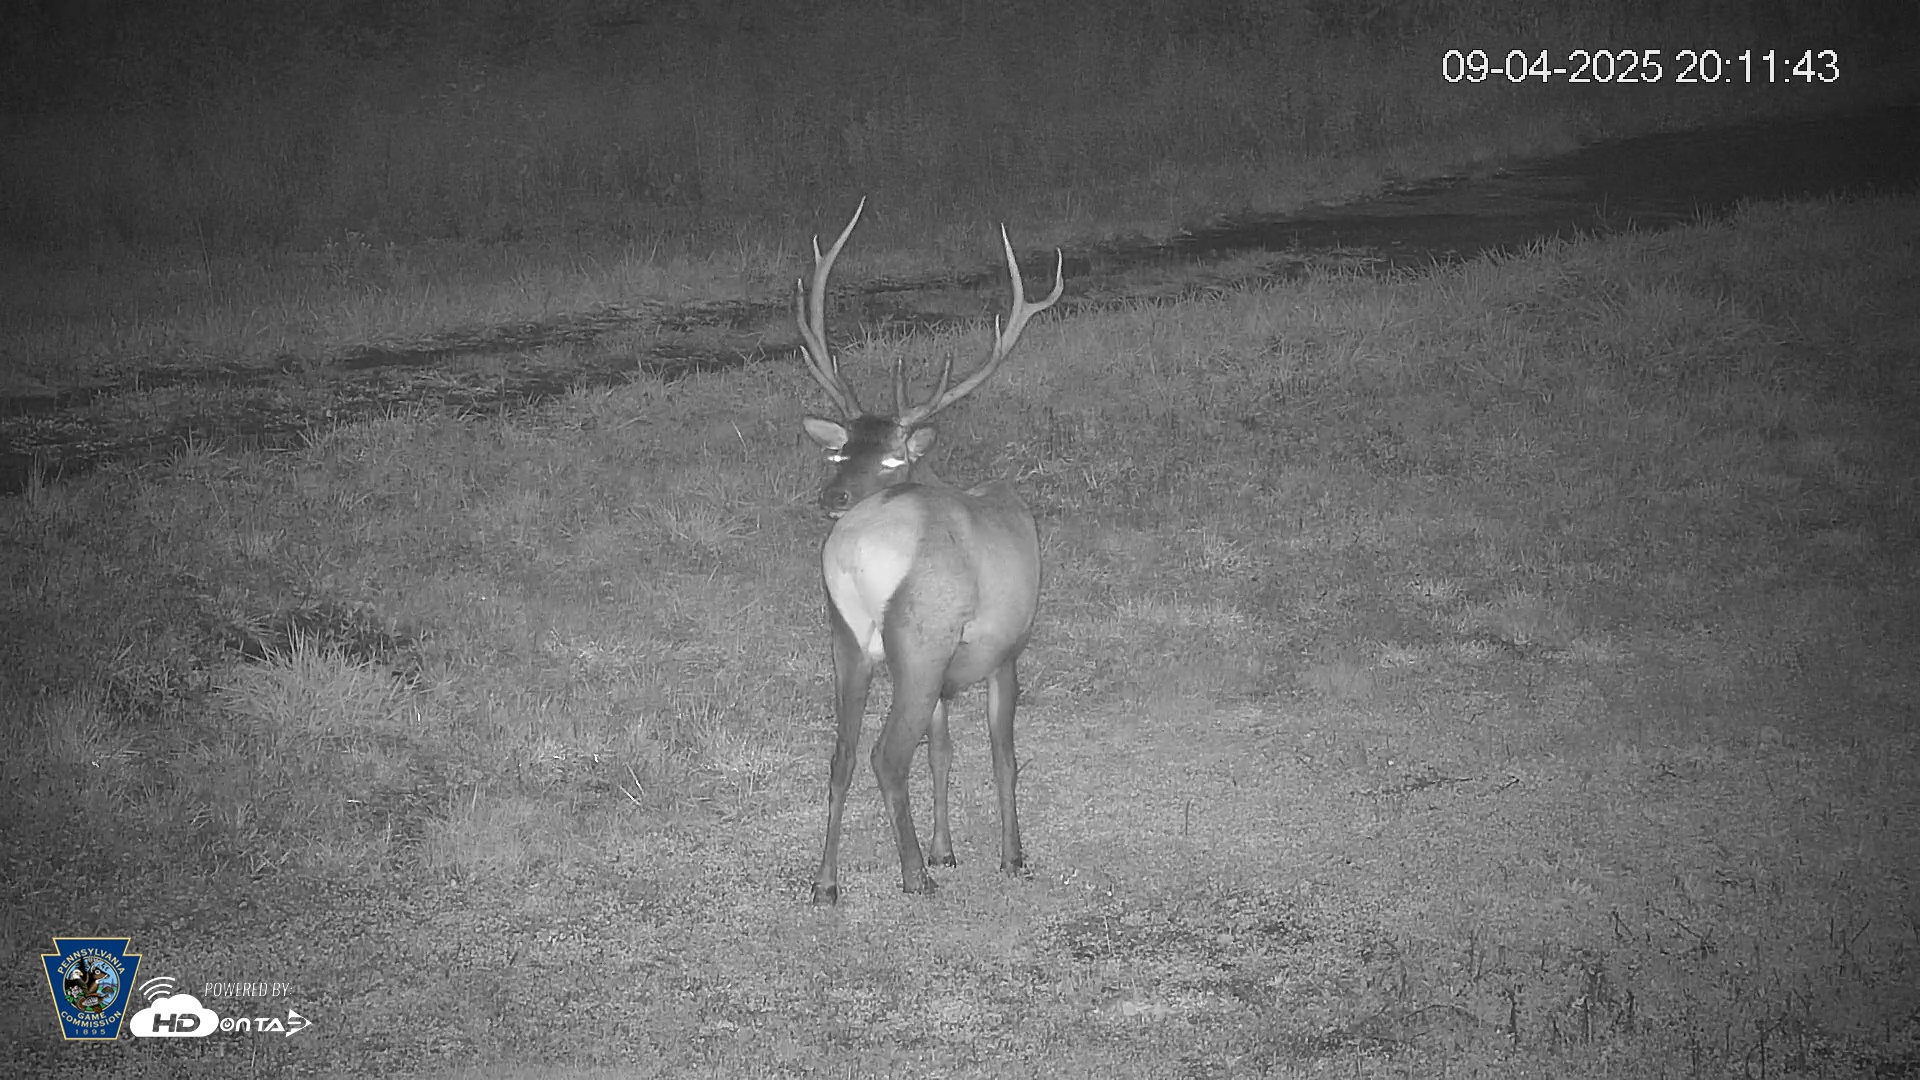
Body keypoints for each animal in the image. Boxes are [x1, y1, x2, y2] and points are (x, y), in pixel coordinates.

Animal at [795, 198, 1063, 904]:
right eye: (838, 452)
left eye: (889, 457)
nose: (831, 495)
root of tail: (854, 552)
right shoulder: (1005, 647)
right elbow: (1002, 756)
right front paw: (1010, 856)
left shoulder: (946, 675)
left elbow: (943, 750)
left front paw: (948, 848)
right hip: (919, 631)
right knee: (886, 754)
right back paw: (915, 877)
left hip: (846, 637)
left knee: (841, 754)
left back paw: (826, 883)